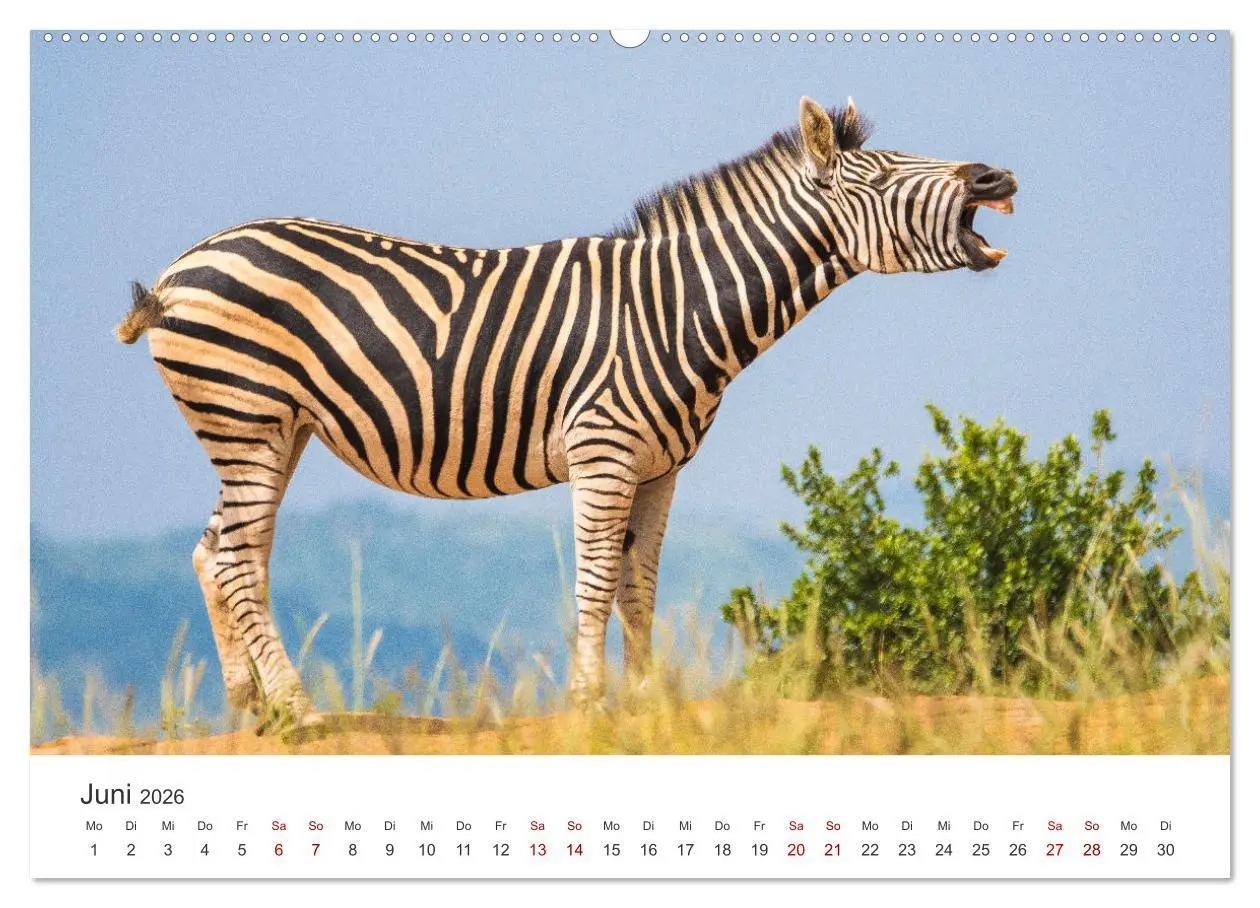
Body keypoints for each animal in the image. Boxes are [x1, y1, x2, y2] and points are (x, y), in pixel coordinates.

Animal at [115, 96, 1017, 729]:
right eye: (885, 177)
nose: (996, 179)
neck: (677, 308)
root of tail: (179, 268)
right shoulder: (603, 452)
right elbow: (593, 581)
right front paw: (589, 702)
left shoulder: (660, 468)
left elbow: (638, 584)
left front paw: (648, 701)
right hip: (246, 414)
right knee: (237, 557)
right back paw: (300, 711)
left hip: (273, 426)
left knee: (218, 552)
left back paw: (253, 708)